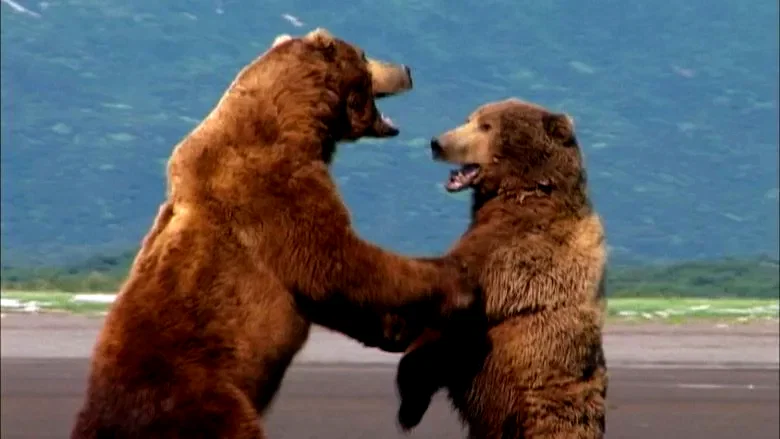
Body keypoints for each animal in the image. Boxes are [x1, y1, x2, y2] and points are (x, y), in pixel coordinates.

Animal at [69, 28, 477, 439]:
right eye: (364, 54)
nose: (407, 69)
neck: (297, 122)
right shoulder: (277, 192)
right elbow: (337, 262)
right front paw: (454, 281)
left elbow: (332, 294)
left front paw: (397, 330)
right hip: (202, 394)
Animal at [390, 98, 608, 439]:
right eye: (469, 118)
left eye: (486, 126)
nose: (438, 143)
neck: (524, 189)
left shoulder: (512, 253)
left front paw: (409, 398)